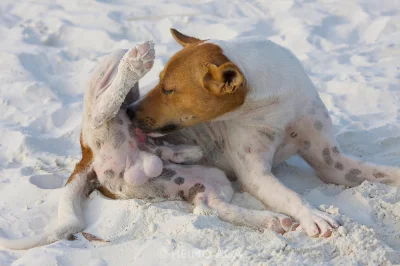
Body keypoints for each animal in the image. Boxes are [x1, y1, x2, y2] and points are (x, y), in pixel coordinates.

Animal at [0, 41, 296, 249]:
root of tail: (86, 155)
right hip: (106, 85)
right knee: (101, 111)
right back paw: (136, 63)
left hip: (211, 179)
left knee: (209, 205)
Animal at [128, 30, 400, 238]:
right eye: (159, 82)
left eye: (168, 89)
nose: (128, 111)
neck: (274, 104)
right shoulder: (256, 175)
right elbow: (291, 196)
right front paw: (313, 214)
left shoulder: (333, 164)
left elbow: (382, 172)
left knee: (211, 205)